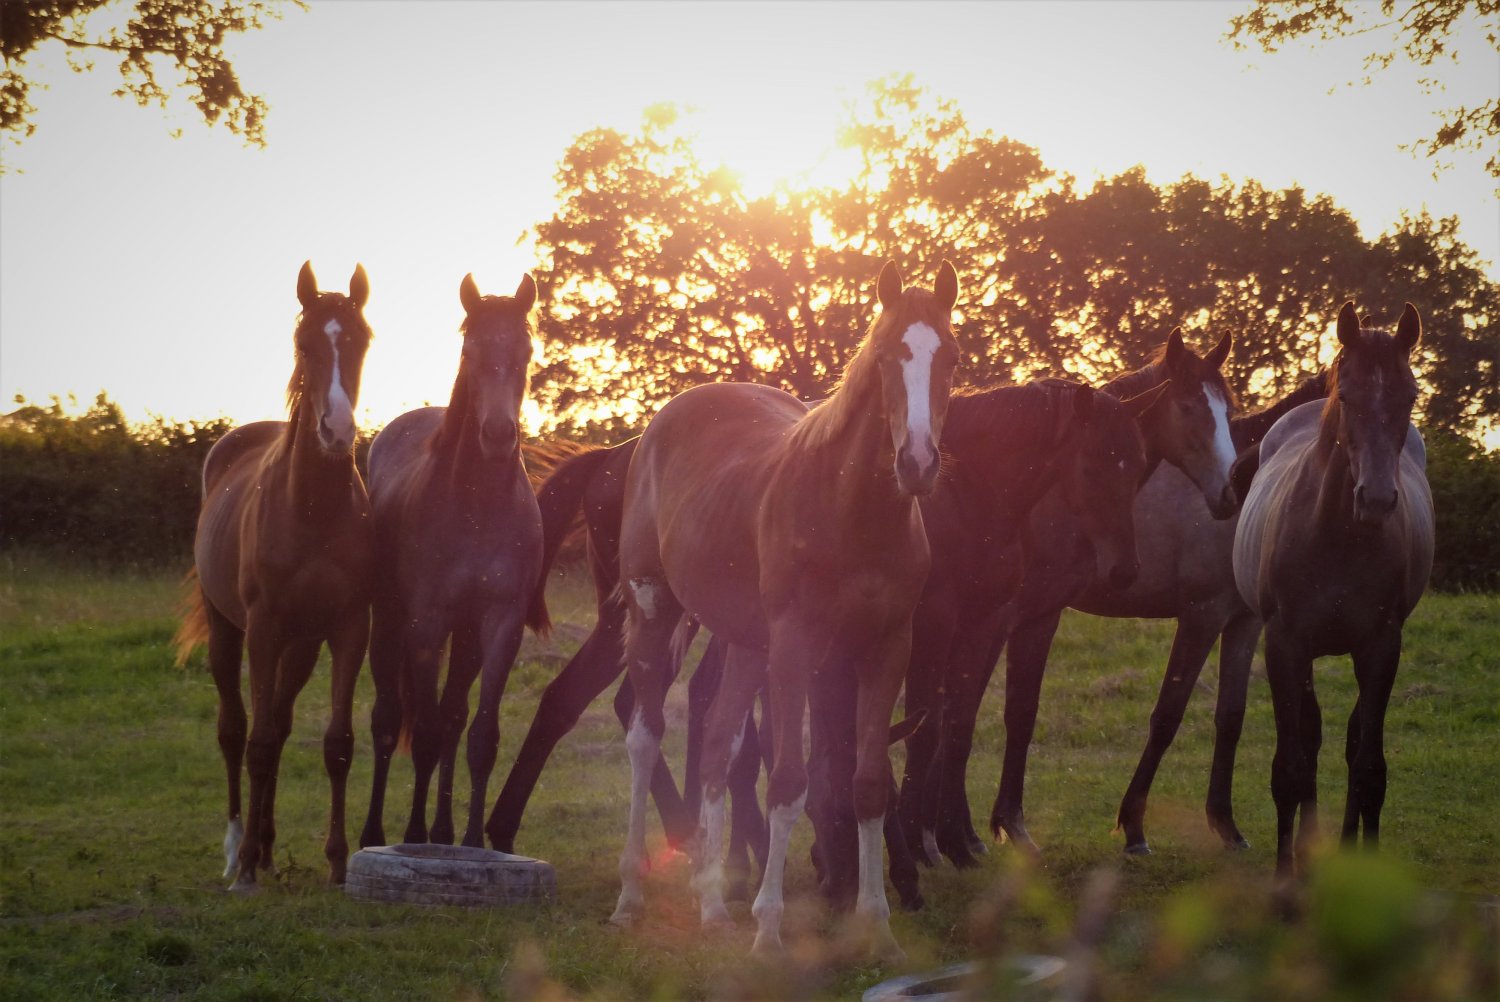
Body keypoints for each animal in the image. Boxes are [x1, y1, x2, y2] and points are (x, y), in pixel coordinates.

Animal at [174, 261, 375, 891]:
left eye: (361, 340)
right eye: (304, 343)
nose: (336, 432)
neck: (311, 507)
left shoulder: (347, 628)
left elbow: (336, 744)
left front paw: (338, 863)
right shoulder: (262, 629)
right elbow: (257, 743)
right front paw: (243, 873)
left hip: (300, 645)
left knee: (279, 723)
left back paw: (262, 847)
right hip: (229, 632)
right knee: (237, 730)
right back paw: (238, 849)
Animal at [358, 273, 547, 850]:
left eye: (526, 352)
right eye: (470, 350)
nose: (498, 435)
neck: (477, 507)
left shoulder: (500, 624)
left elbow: (479, 735)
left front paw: (466, 843)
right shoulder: (426, 624)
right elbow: (422, 734)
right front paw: (415, 837)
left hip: (465, 639)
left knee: (453, 717)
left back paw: (442, 830)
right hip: (389, 625)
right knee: (389, 720)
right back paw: (375, 832)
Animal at [612, 261, 960, 958]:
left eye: (953, 358)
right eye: (886, 356)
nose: (917, 462)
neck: (850, 510)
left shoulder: (887, 648)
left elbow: (866, 783)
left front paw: (878, 926)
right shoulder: (796, 648)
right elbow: (789, 784)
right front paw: (769, 928)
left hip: (747, 642)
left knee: (715, 747)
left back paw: (714, 906)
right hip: (653, 611)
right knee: (644, 738)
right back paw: (631, 896)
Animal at [1232, 302, 1433, 883]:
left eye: (1409, 396)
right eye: (1348, 396)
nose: (1378, 499)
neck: (1337, 535)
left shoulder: (1381, 647)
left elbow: (1367, 766)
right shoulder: (1285, 645)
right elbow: (1291, 765)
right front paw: (1286, 879)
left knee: (1348, 739)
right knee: (1312, 735)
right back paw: (1307, 848)